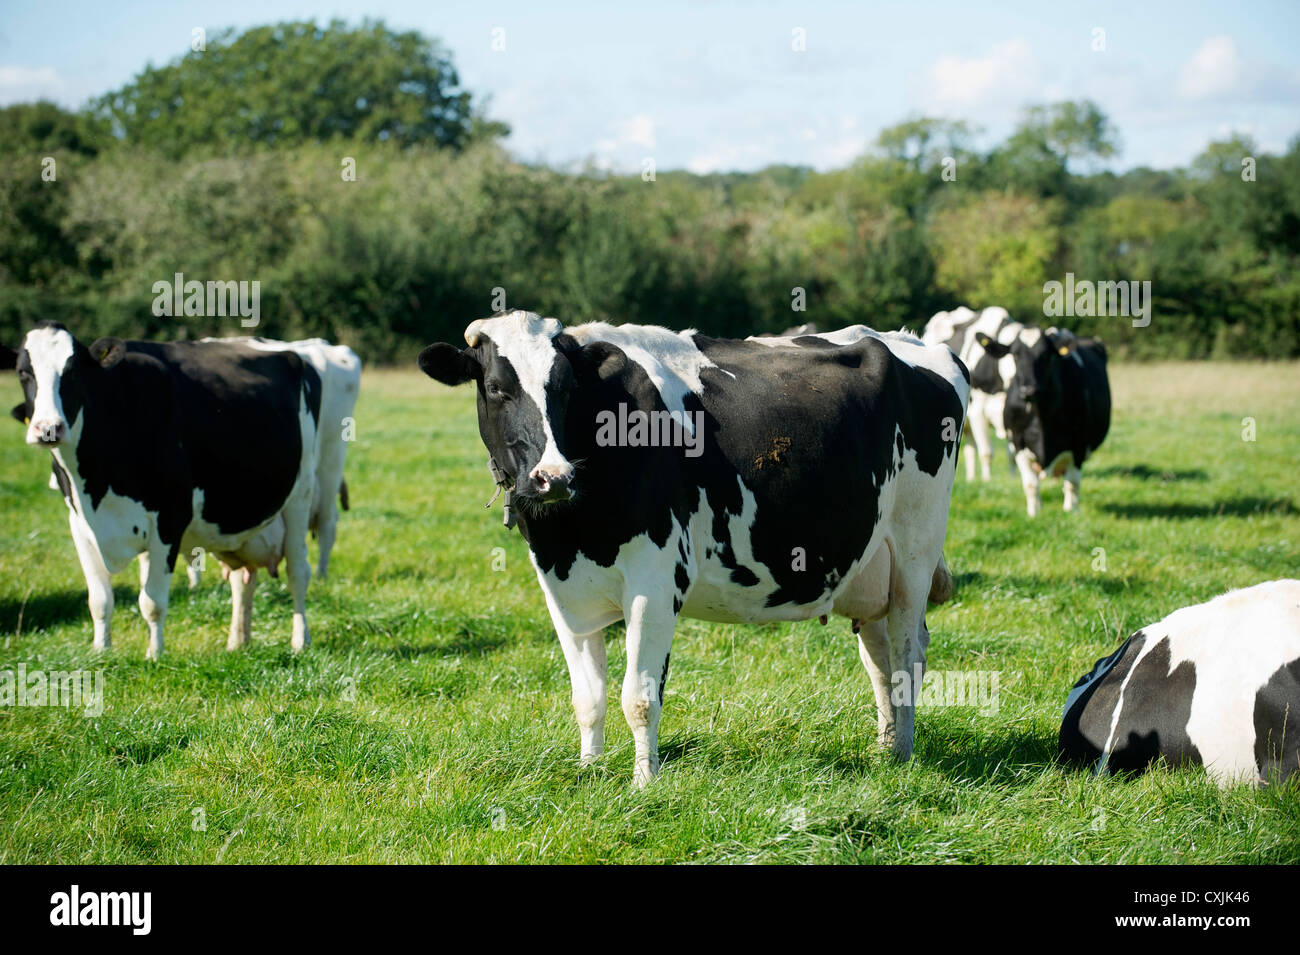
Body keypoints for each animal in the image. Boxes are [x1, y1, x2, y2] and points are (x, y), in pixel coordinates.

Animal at [1, 322, 322, 658]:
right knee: (242, 579)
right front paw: (100, 651)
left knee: (298, 572)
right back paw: (237, 642)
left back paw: (301, 641)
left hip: (301, 495)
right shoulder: (79, 523)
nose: (48, 429)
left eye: (73, 371)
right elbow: (99, 599)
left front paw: (154, 655)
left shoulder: (170, 519)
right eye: (24, 372)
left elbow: (152, 601)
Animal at [418, 310, 970, 785]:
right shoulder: (562, 591)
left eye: (565, 388)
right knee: (879, 656)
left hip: (915, 550)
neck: (570, 534)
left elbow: (638, 697)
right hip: (870, 564)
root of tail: (918, 344)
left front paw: (643, 784)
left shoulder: (655, 582)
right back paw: (887, 750)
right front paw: (589, 771)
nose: (553, 477)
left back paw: (905, 752)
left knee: (907, 650)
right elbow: (587, 697)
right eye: (496, 388)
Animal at [975, 327, 1109, 517]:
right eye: (1015, 355)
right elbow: (1031, 484)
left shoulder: (1079, 445)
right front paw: (1033, 514)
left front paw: (1072, 512)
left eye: (1046, 355)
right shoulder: (1017, 442)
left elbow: (1073, 483)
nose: (1028, 390)